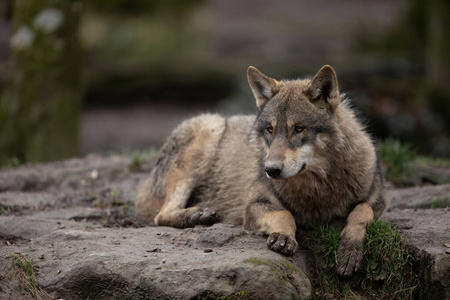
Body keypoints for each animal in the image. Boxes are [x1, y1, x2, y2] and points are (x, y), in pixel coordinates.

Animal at [135, 65, 384, 276]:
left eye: (299, 128)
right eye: (270, 129)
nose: (270, 170)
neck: (317, 189)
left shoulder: (377, 200)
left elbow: (360, 212)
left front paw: (349, 252)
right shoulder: (253, 205)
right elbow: (284, 213)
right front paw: (283, 237)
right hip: (209, 128)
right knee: (161, 215)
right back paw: (196, 215)